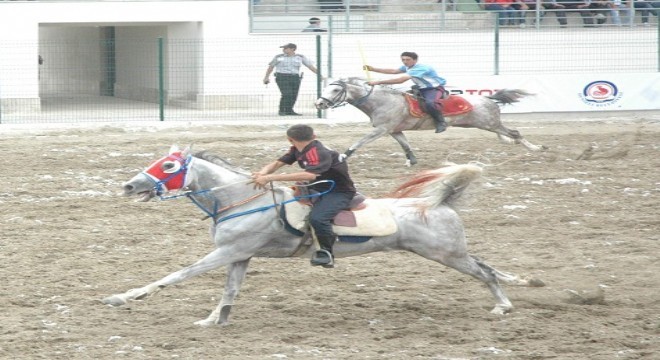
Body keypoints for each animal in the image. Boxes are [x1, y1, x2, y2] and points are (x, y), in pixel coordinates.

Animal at [100, 145, 540, 324]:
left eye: (169, 166)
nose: (129, 186)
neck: (240, 199)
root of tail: (440, 202)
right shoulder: (239, 256)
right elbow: (230, 291)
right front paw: (214, 319)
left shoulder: (226, 253)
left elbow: (176, 275)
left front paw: (124, 296)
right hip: (449, 252)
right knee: (488, 267)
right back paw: (521, 286)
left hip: (447, 254)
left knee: (485, 272)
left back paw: (503, 305)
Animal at [314, 78, 548, 167]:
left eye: (335, 89)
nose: (319, 103)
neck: (382, 100)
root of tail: (487, 99)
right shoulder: (394, 130)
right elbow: (406, 145)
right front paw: (412, 161)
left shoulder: (381, 129)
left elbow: (359, 142)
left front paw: (343, 156)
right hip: (483, 124)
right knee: (507, 135)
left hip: (488, 123)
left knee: (515, 133)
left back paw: (537, 148)